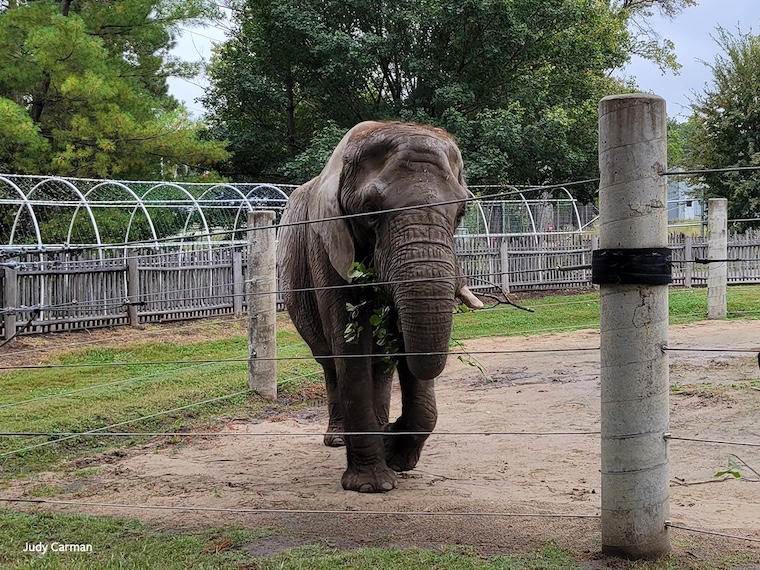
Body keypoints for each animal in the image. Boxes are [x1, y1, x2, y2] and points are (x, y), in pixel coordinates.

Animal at [277, 121, 483, 493]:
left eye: (461, 212)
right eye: (371, 210)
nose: (393, 433)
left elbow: (405, 348)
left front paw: (396, 455)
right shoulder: (326, 245)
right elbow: (351, 347)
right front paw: (373, 484)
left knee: (382, 365)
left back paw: (379, 423)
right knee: (330, 361)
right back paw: (338, 439)